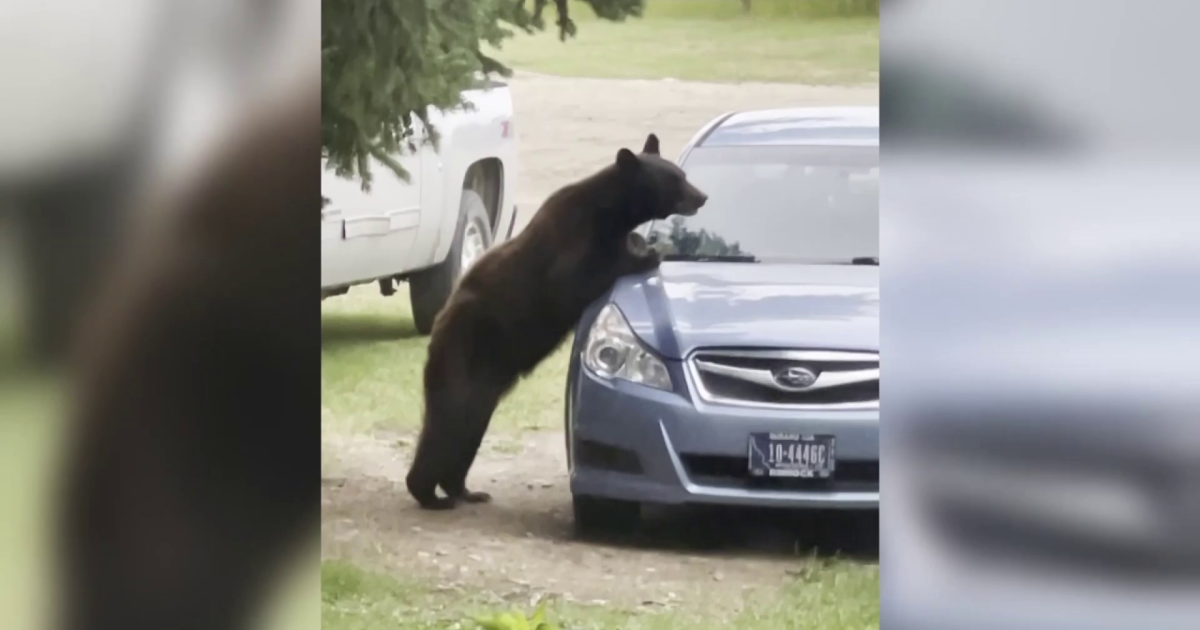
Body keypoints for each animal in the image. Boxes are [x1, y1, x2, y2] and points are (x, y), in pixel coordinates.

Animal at [405, 133, 708, 510]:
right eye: (675, 179)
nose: (701, 195)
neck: (611, 213)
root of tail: (439, 326)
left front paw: (640, 243)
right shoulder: (569, 242)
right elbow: (578, 277)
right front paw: (647, 253)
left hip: (485, 384)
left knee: (467, 428)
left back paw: (464, 489)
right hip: (465, 353)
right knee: (448, 418)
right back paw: (429, 493)